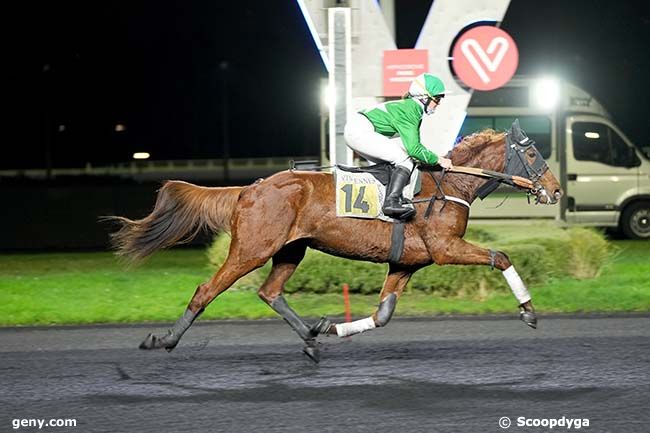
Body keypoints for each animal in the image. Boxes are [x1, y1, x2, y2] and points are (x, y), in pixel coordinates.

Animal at [104, 119, 560, 362]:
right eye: (533, 154)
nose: (554, 191)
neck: (447, 185)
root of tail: (250, 187)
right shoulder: (445, 250)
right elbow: (501, 256)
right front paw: (529, 312)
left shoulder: (407, 262)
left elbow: (383, 315)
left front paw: (332, 327)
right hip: (253, 248)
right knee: (206, 291)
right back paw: (164, 339)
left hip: (291, 249)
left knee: (270, 292)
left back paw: (310, 336)